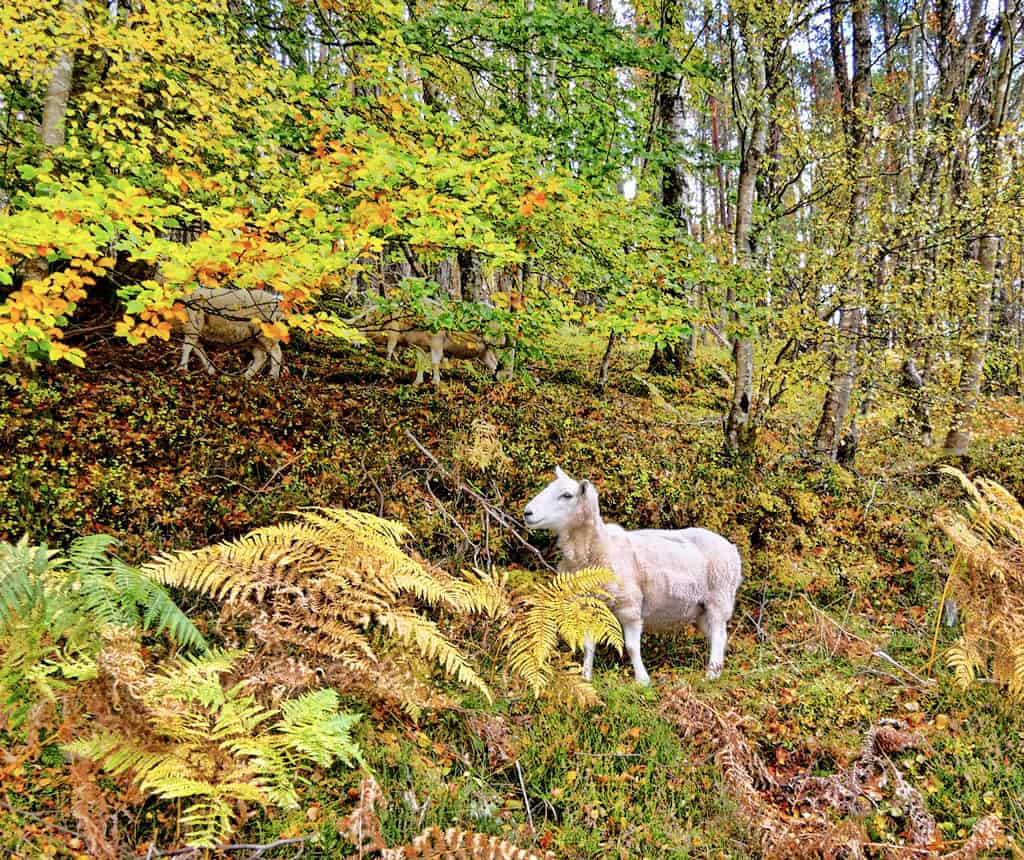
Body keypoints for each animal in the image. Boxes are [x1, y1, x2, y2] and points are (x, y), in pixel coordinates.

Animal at [523, 466, 742, 684]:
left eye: (567, 495)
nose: (527, 513)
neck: (600, 547)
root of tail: (732, 549)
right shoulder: (588, 607)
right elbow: (588, 646)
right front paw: (586, 678)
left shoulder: (630, 605)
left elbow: (631, 646)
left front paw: (642, 680)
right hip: (701, 608)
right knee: (718, 636)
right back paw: (717, 671)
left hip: (719, 597)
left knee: (718, 636)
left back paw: (711, 675)